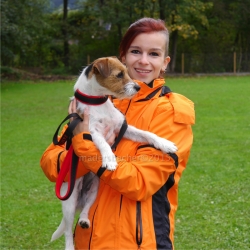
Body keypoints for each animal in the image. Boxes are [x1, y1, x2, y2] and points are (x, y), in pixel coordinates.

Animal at [50, 57, 177, 250]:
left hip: (93, 191)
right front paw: (109, 159)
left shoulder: (122, 128)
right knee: (67, 230)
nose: (138, 87)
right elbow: (104, 144)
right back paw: (70, 245)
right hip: (69, 201)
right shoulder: (91, 131)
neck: (98, 102)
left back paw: (85, 220)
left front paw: (165, 143)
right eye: (119, 74)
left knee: (86, 209)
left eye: (126, 71)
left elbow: (147, 134)